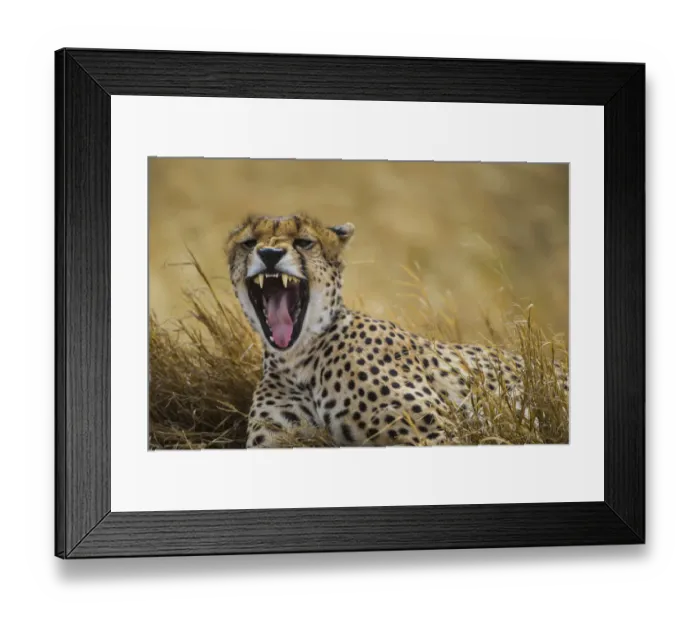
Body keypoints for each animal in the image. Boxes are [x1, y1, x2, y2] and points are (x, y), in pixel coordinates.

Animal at [226, 214, 568, 449]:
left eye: (303, 242)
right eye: (249, 243)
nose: (270, 254)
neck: (300, 359)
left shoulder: (439, 433)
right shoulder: (281, 440)